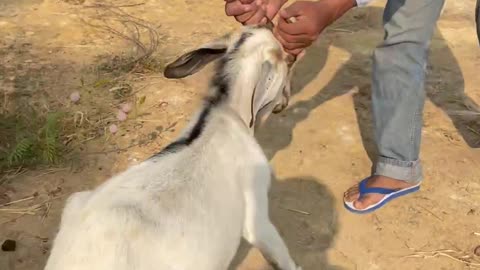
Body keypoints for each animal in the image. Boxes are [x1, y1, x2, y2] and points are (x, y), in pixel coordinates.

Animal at [44, 24, 300, 270]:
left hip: (75, 202)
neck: (225, 111)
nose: (284, 103)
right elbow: (275, 250)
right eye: (285, 59)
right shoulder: (257, 209)